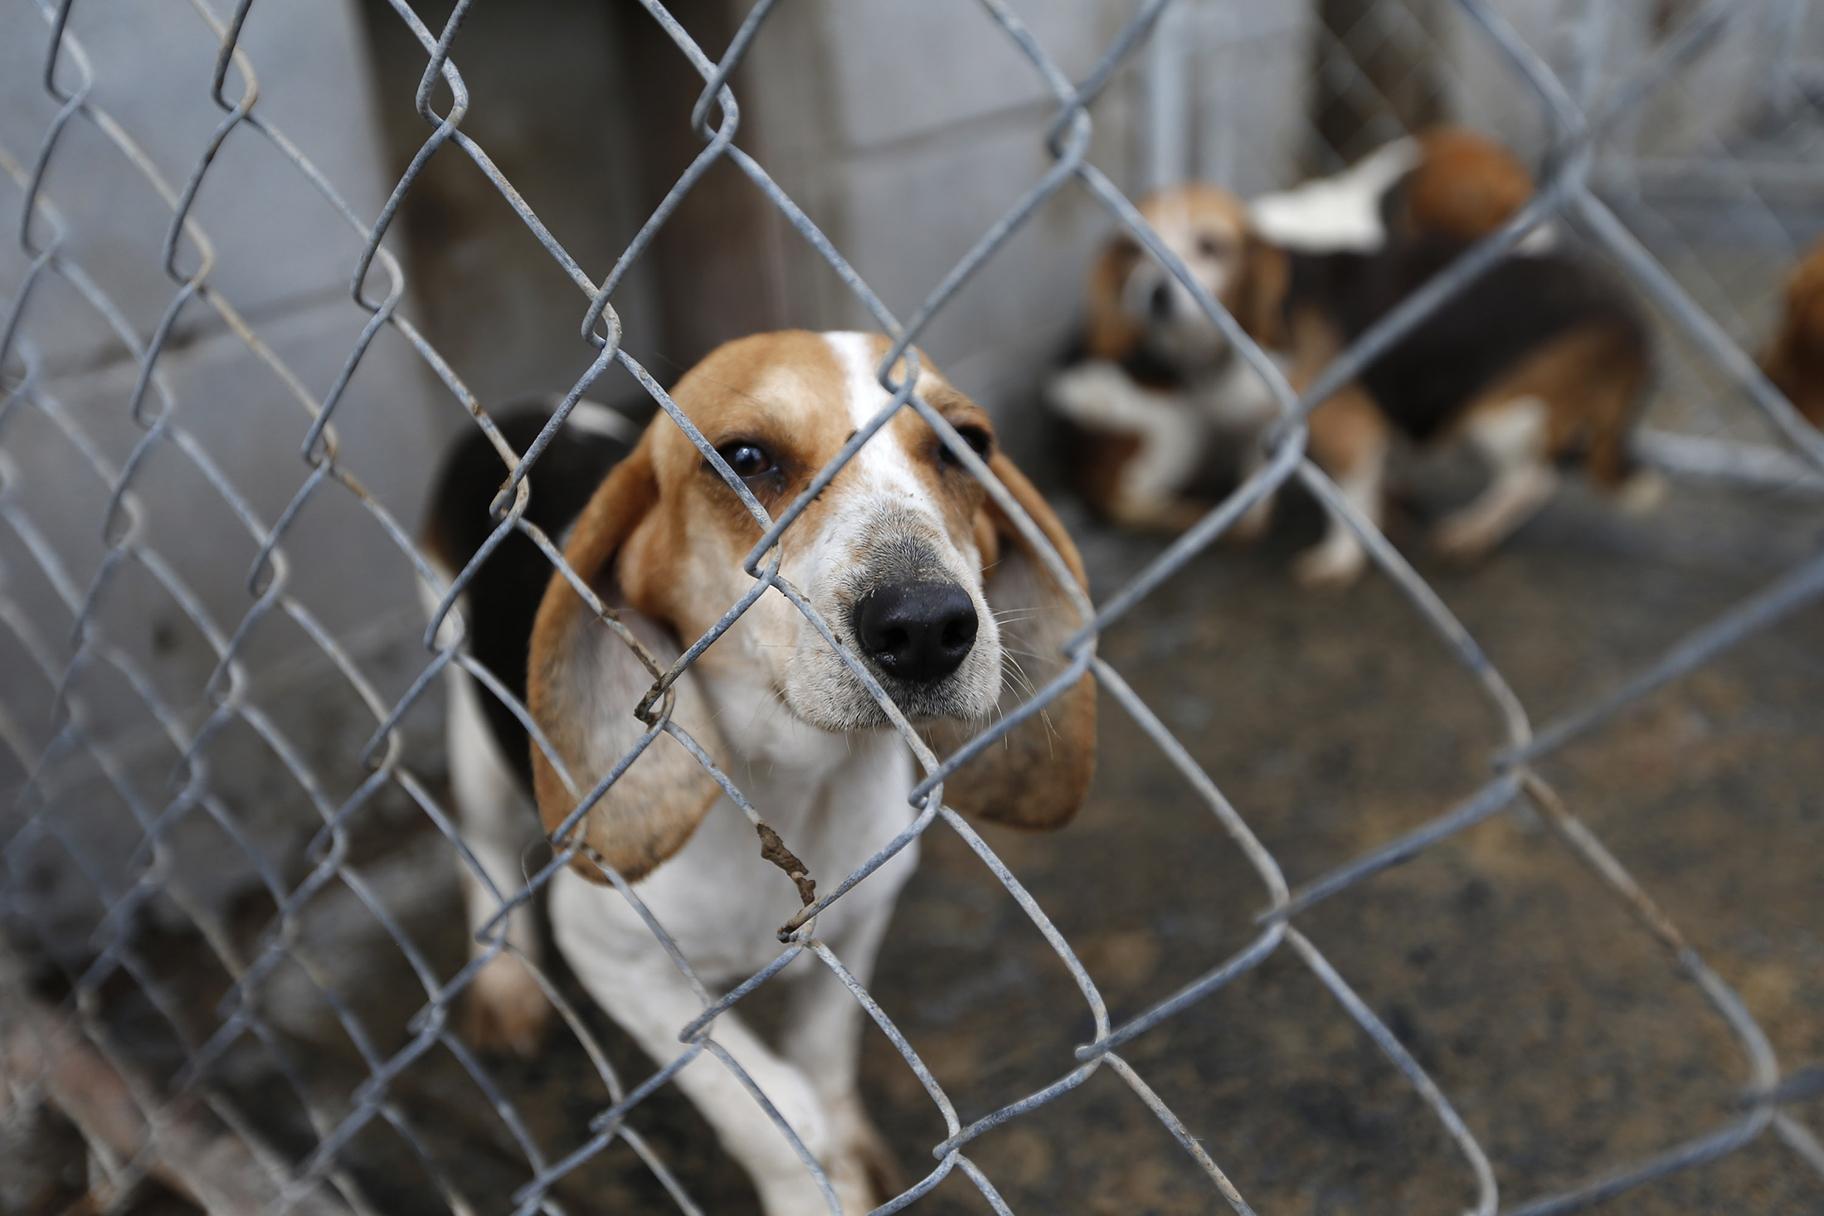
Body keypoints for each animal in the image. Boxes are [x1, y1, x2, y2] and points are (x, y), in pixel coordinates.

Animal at [419, 328, 1087, 1210]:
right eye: (742, 457)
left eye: (965, 446)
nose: (923, 625)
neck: (793, 785)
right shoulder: (615, 955)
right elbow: (768, 1111)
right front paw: (811, 1185)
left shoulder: (861, 917)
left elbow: (823, 1057)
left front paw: (848, 1150)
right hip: (466, 707)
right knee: (485, 848)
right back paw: (503, 982)